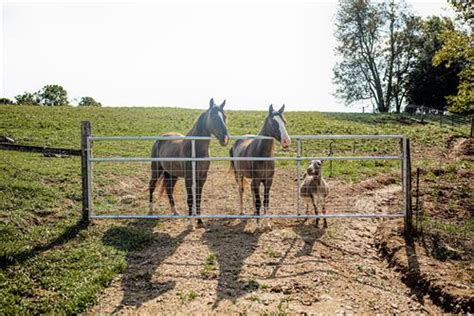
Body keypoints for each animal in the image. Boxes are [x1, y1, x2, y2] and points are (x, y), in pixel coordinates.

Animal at [148, 99, 230, 227]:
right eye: (213, 116)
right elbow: (190, 199)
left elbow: (198, 198)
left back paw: (175, 211)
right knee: (151, 185)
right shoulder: (189, 178)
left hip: (172, 174)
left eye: (225, 116)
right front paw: (191, 224)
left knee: (169, 189)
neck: (195, 149)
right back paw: (150, 210)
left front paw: (200, 221)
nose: (225, 139)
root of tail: (160, 139)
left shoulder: (202, 178)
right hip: (156, 170)